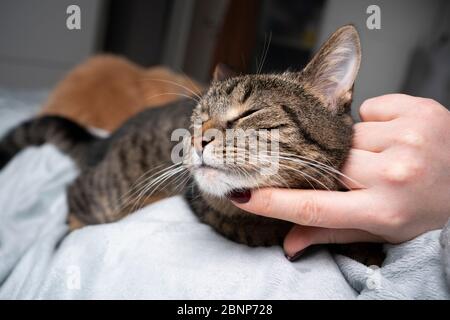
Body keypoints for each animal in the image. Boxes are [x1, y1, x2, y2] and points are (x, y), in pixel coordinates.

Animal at [0, 24, 372, 255]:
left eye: (248, 113)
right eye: (198, 118)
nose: (195, 141)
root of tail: (103, 143)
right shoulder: (207, 203)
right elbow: (246, 226)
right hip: (110, 192)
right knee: (75, 194)